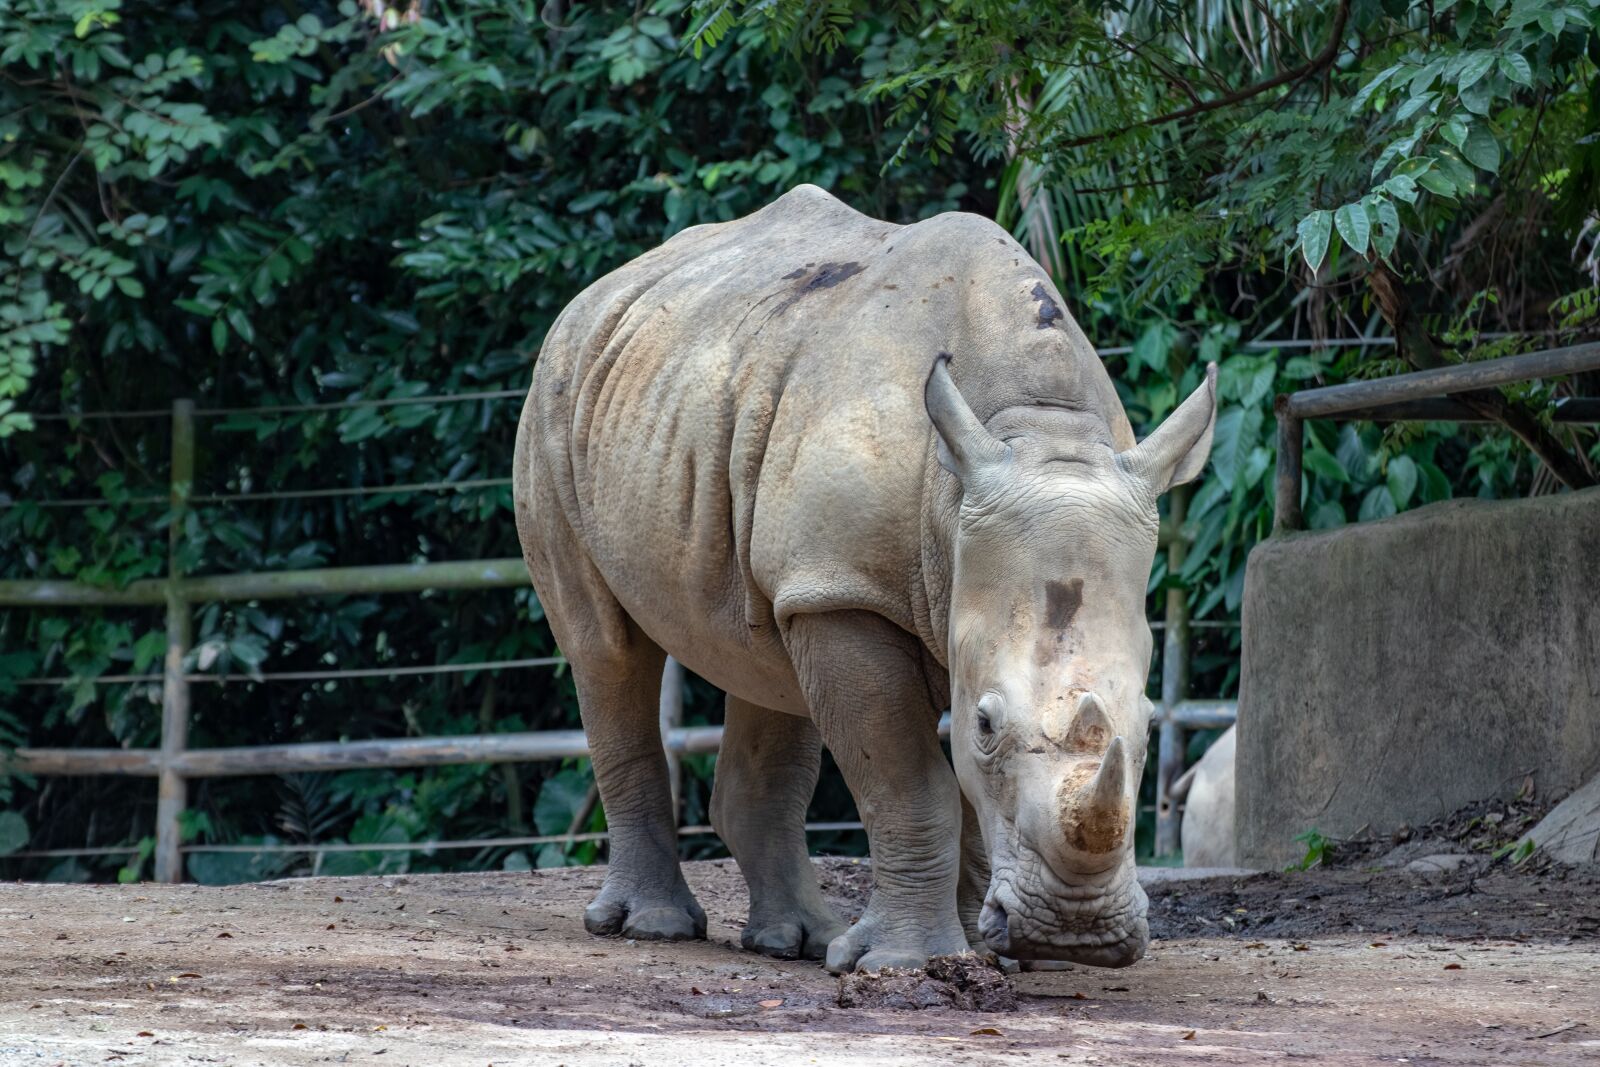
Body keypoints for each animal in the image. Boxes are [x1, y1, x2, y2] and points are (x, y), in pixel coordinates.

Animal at [513, 185, 1216, 972]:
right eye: (986, 725)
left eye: (1149, 723)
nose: (1080, 935)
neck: (1037, 429)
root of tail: (599, 293)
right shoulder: (849, 590)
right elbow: (911, 781)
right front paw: (906, 963)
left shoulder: (866, 578)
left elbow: (960, 795)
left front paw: (988, 954)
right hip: (557, 397)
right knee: (608, 648)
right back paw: (654, 927)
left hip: (725, 416)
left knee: (766, 658)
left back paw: (793, 940)